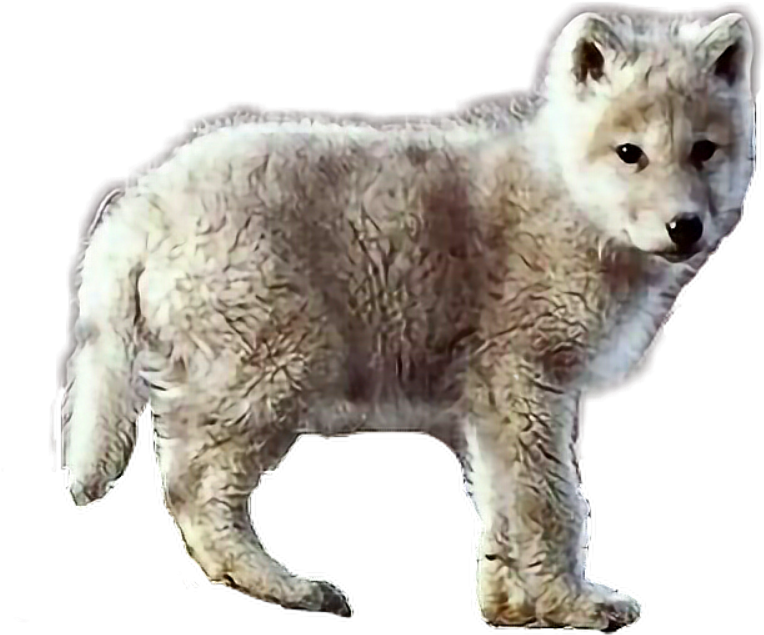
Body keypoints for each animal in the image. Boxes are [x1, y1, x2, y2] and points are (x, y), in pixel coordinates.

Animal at [58, 4, 758, 630]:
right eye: (629, 152)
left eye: (704, 151)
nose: (686, 227)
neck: (565, 198)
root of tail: (139, 203)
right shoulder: (527, 382)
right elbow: (552, 502)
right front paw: (574, 607)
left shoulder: (491, 402)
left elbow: (501, 504)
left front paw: (509, 609)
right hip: (280, 367)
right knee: (195, 487)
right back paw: (290, 588)